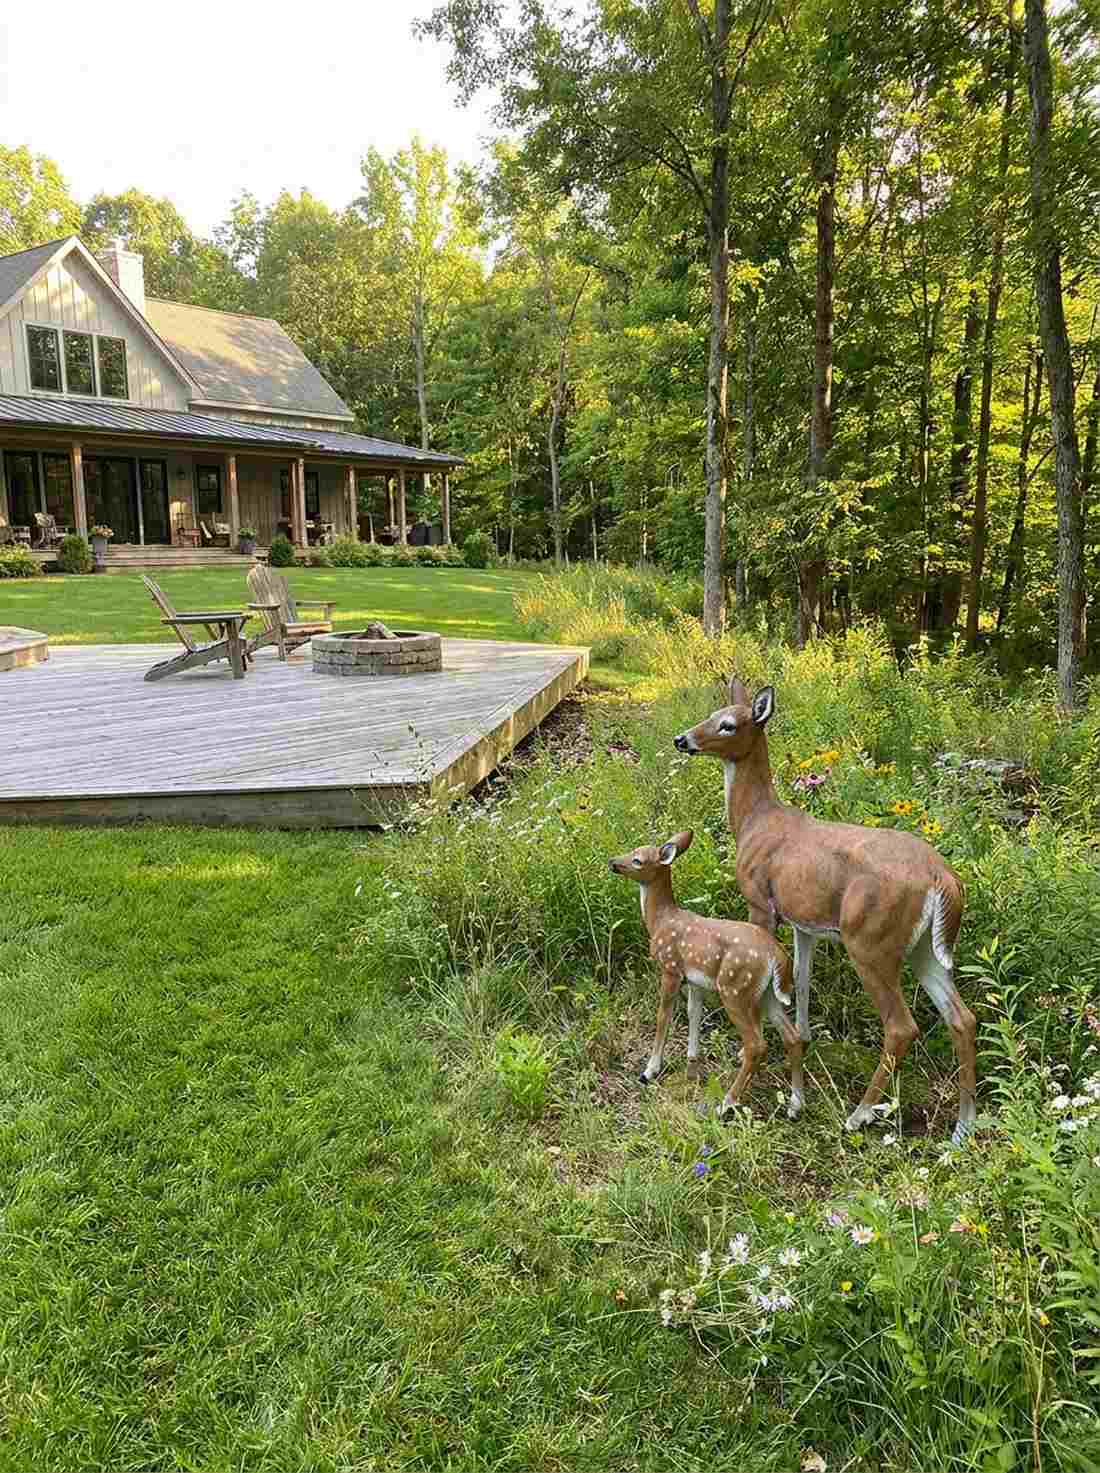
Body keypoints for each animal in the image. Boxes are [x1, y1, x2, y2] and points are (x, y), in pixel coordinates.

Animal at [609, 830, 806, 1120]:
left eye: (637, 860)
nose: (612, 861)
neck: (660, 921)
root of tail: (777, 956)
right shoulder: (695, 980)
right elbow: (694, 1012)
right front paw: (692, 1060)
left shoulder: (670, 968)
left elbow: (663, 1016)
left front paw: (650, 1070)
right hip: (765, 993)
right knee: (792, 1037)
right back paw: (795, 1105)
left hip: (735, 987)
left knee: (757, 1045)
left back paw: (726, 1104)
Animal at [674, 678, 976, 1145]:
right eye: (711, 714)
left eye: (728, 724)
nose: (682, 739)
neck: (754, 821)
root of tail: (942, 878)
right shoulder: (806, 923)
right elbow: (800, 979)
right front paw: (804, 1039)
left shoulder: (760, 902)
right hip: (924, 947)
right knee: (963, 1018)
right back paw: (963, 1129)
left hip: (869, 940)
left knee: (902, 1027)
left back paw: (859, 1115)